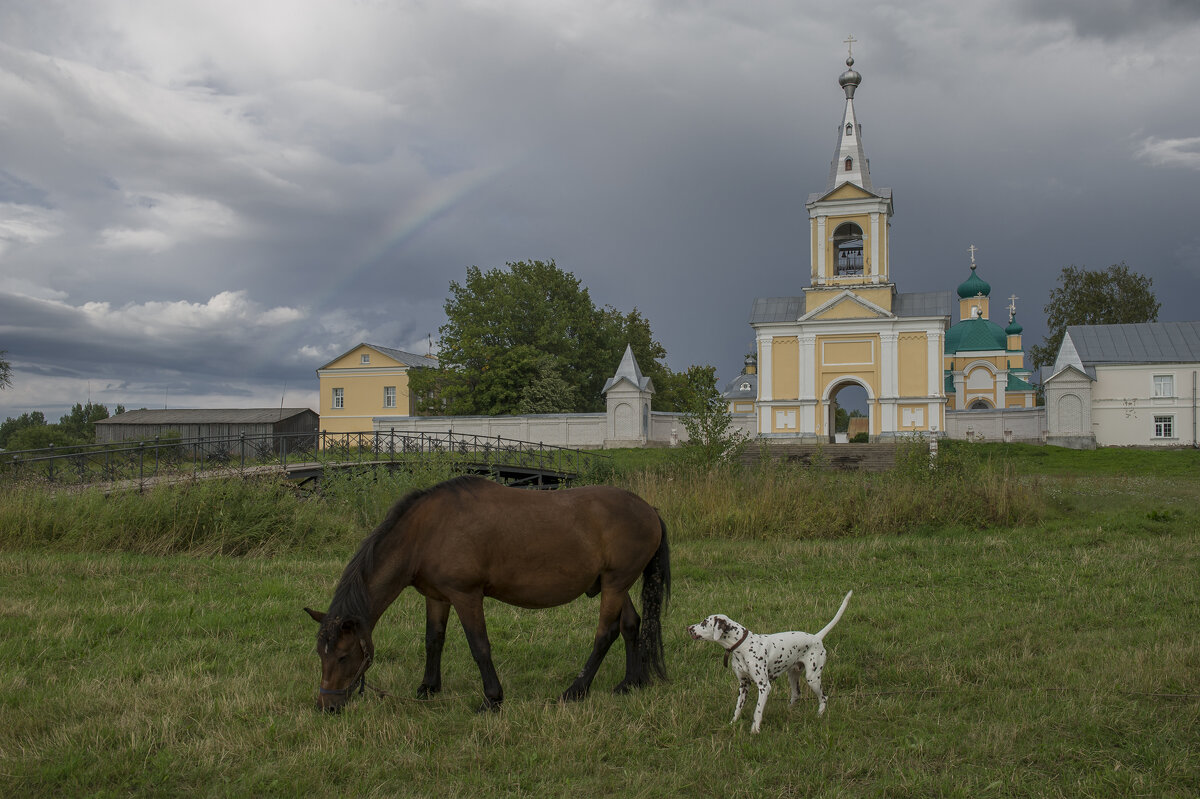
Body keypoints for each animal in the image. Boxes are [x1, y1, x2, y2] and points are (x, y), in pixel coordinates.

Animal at [304, 472, 672, 710]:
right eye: (320, 654)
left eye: (343, 656)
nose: (326, 705)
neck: (427, 532)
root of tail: (649, 510)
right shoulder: (437, 596)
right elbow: (433, 640)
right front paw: (428, 688)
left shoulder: (466, 596)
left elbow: (479, 646)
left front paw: (492, 698)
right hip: (616, 585)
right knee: (631, 625)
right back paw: (630, 683)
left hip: (614, 585)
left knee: (605, 634)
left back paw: (576, 691)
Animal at [686, 587, 854, 729]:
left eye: (704, 622)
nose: (688, 628)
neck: (743, 646)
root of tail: (817, 637)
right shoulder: (743, 685)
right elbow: (737, 709)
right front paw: (732, 724)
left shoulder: (764, 686)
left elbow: (757, 711)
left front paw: (754, 730)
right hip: (793, 675)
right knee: (796, 695)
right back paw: (789, 711)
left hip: (813, 678)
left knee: (823, 698)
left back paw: (819, 715)